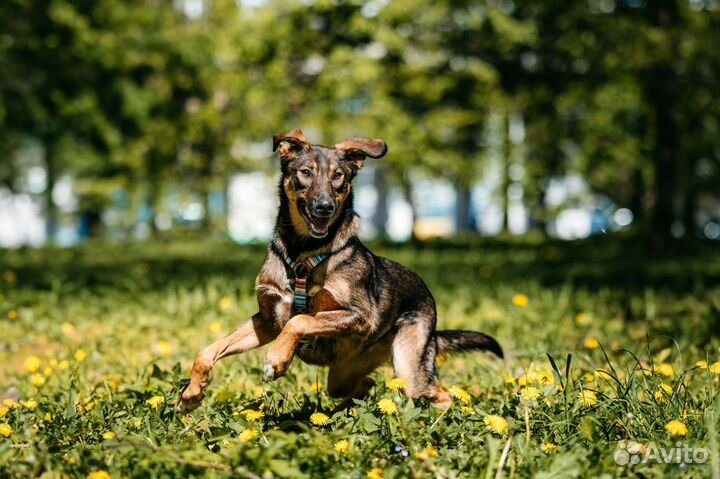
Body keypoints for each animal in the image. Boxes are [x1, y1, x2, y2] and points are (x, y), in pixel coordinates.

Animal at [179, 129, 504, 410]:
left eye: (338, 176)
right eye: (305, 172)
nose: (324, 207)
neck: (302, 253)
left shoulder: (358, 316)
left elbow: (301, 320)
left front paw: (277, 360)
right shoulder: (267, 321)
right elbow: (207, 351)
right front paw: (192, 393)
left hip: (409, 365)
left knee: (439, 394)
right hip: (344, 372)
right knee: (364, 386)